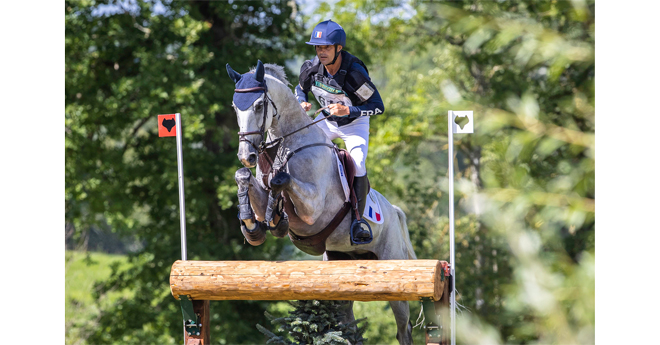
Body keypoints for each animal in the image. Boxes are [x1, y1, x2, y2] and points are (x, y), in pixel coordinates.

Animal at [227, 60, 418, 342]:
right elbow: (244, 178)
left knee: (403, 328)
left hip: (392, 267)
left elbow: (281, 181)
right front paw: (253, 228)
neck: (286, 145)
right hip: (342, 265)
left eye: (259, 105)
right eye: (234, 107)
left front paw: (277, 219)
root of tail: (393, 210)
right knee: (349, 324)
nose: (246, 155)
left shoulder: (313, 209)